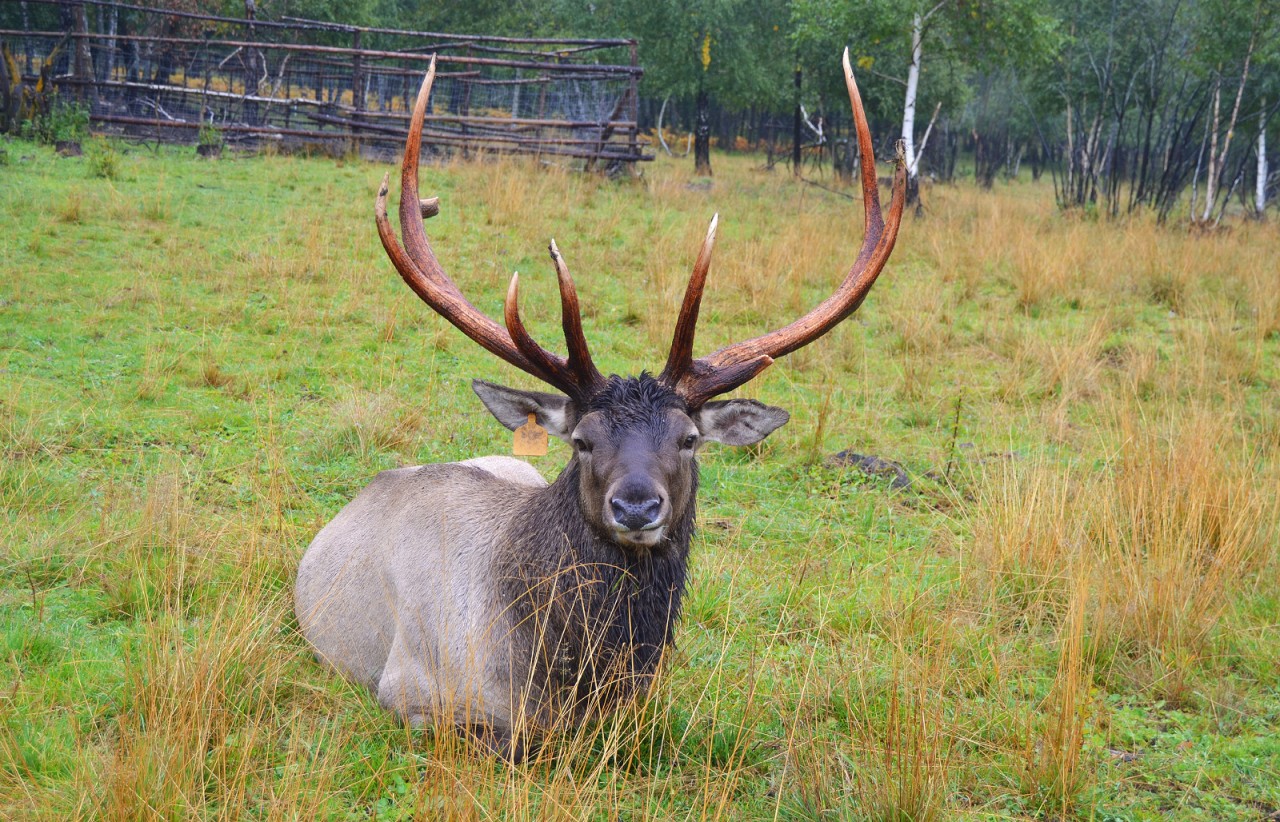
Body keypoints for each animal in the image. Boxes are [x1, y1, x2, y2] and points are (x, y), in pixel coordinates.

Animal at [294, 49, 906, 757]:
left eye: (688, 439)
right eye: (583, 441)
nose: (636, 505)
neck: (565, 676)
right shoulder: (409, 691)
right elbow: (511, 742)